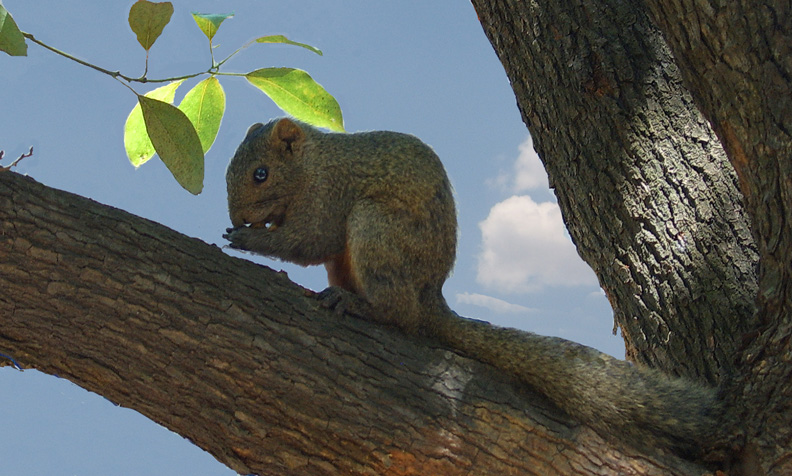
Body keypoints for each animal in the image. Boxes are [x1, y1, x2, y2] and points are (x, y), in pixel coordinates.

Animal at [223, 117, 724, 460]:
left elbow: (310, 240)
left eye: (261, 174)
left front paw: (250, 239)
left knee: (401, 314)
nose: (238, 216)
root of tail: (431, 296)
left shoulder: (328, 194)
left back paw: (364, 306)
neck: (312, 165)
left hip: (376, 227)